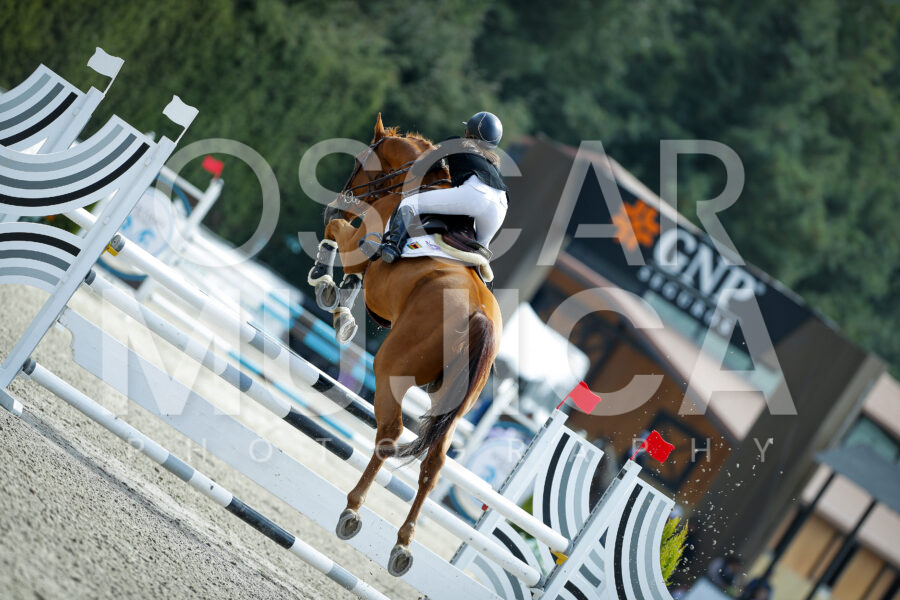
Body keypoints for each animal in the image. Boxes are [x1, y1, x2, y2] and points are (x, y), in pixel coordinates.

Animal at [308, 114, 502, 576]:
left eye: (359, 162)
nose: (339, 200)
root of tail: (481, 316)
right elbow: (351, 278)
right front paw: (342, 310)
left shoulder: (358, 242)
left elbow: (334, 235)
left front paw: (326, 287)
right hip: (454, 405)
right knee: (434, 465)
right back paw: (403, 546)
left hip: (391, 369)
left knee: (390, 434)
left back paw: (353, 510)